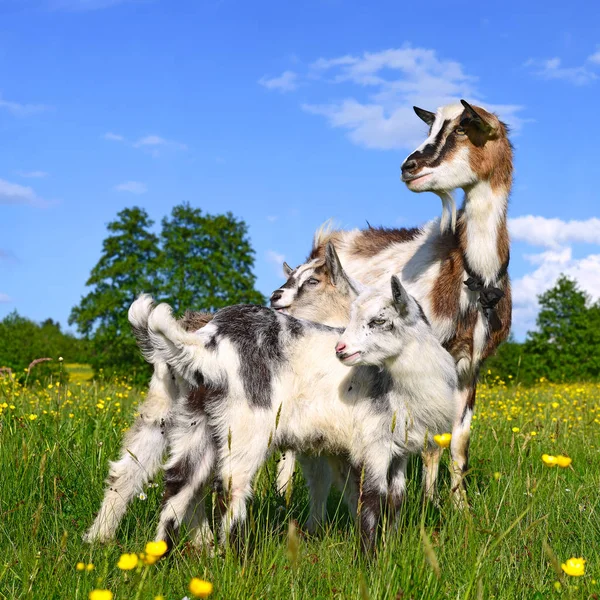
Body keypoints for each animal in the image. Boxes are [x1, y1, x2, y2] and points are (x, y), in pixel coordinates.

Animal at [272, 99, 510, 502]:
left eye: (465, 126)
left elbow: (458, 443)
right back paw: (284, 494)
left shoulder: (471, 366)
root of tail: (325, 241)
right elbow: (432, 442)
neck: (470, 272)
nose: (408, 167)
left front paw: (456, 505)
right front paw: (429, 503)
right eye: (430, 127)